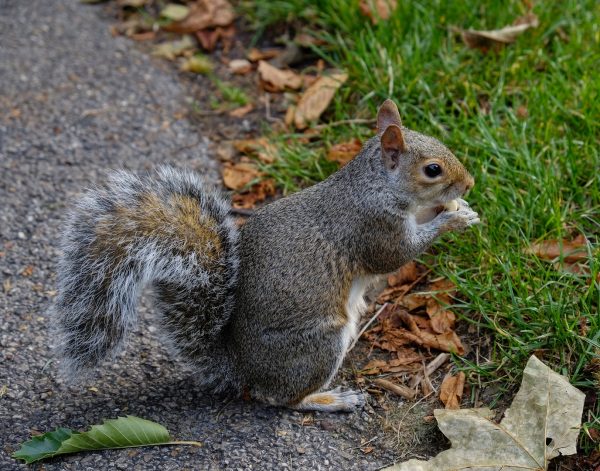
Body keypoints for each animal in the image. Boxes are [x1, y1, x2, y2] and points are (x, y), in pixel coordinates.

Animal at [55, 100, 478, 412]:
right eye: (432, 169)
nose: (470, 182)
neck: (375, 185)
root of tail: (244, 368)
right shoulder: (372, 227)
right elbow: (395, 256)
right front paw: (453, 219)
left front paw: (458, 208)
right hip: (319, 344)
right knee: (281, 399)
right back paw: (329, 399)